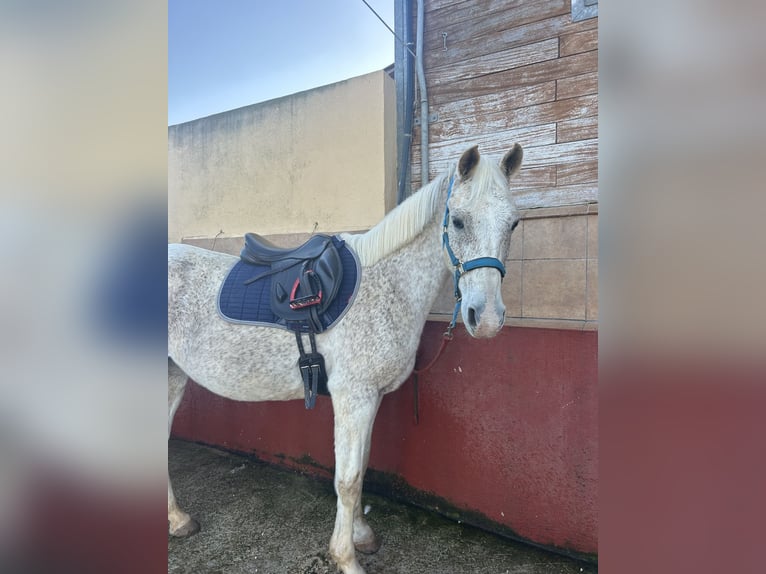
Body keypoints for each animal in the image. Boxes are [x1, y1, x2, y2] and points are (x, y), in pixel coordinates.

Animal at [169, 143, 524, 572]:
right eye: (457, 221)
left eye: (513, 224)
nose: (485, 318)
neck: (387, 283)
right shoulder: (353, 396)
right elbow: (348, 479)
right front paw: (346, 557)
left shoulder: (370, 397)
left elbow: (362, 465)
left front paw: (361, 535)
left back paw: (178, 520)